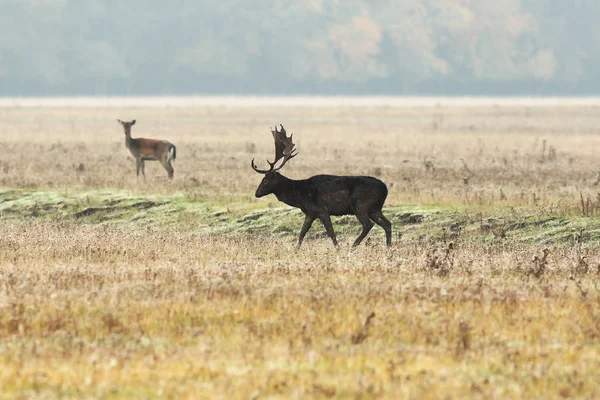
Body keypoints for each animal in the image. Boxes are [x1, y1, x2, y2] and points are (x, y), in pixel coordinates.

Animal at [251, 126, 392, 247]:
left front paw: (338, 248)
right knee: (387, 224)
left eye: (265, 180)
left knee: (368, 225)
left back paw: (353, 246)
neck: (299, 196)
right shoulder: (310, 213)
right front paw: (296, 249)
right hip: (375, 208)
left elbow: (330, 232)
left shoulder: (322, 209)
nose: (256, 193)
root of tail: (385, 188)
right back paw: (388, 247)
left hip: (360, 205)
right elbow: (302, 232)